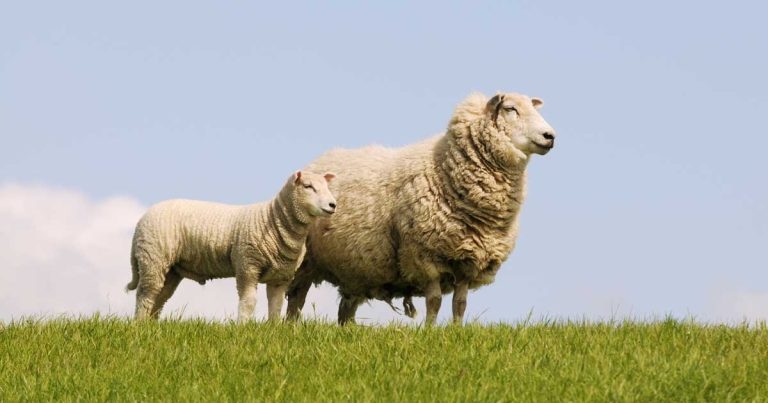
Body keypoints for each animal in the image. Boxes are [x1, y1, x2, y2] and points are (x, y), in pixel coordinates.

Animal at [125, 170, 337, 322]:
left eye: (327, 187)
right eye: (308, 186)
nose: (333, 204)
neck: (273, 219)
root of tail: (142, 220)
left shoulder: (281, 276)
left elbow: (275, 307)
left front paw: (273, 329)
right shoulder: (247, 265)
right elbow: (249, 302)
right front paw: (243, 327)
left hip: (171, 269)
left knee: (160, 296)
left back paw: (152, 325)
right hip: (153, 257)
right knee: (145, 294)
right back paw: (140, 325)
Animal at [286, 92, 556, 325]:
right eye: (511, 109)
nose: (550, 136)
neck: (445, 168)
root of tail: (319, 161)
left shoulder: (467, 260)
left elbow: (460, 303)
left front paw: (457, 330)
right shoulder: (425, 255)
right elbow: (434, 301)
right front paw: (429, 330)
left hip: (354, 269)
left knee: (346, 308)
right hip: (307, 261)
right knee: (296, 298)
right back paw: (290, 327)